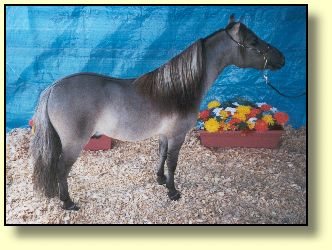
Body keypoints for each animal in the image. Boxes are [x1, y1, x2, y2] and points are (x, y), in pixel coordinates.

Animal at [30, 15, 282, 211]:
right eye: (253, 41)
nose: (281, 58)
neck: (178, 89)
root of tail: (54, 87)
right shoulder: (177, 135)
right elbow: (173, 163)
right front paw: (173, 192)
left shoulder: (164, 134)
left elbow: (161, 156)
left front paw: (160, 180)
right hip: (74, 143)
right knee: (62, 168)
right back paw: (68, 203)